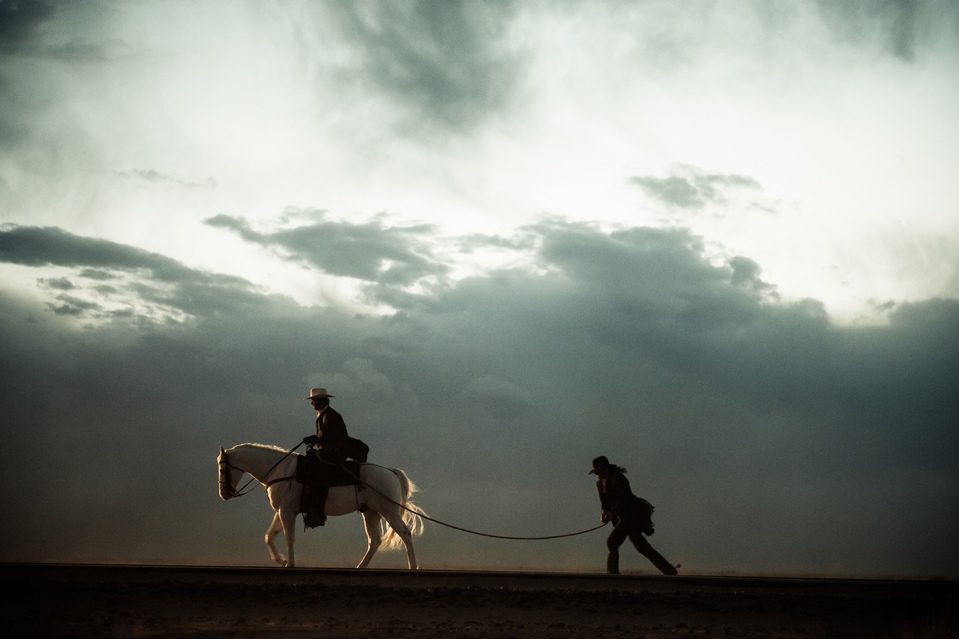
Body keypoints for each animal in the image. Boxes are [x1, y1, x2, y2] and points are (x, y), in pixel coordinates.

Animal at [221, 444, 428, 568]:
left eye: (222, 468)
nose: (224, 494)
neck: (280, 470)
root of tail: (390, 471)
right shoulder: (283, 511)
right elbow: (270, 535)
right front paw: (281, 560)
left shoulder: (287, 511)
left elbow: (289, 538)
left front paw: (290, 563)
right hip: (371, 513)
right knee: (374, 540)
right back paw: (360, 567)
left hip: (389, 512)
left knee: (405, 534)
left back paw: (413, 567)